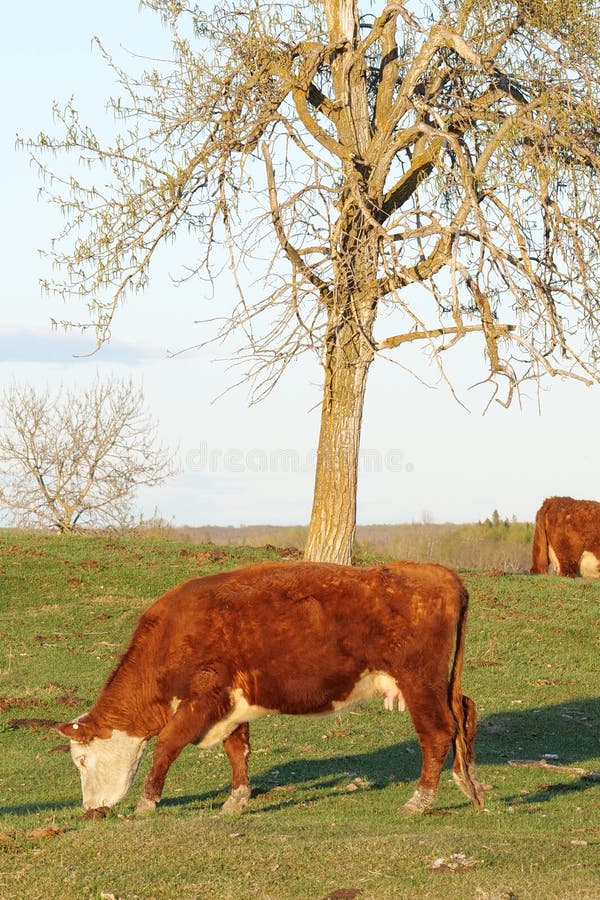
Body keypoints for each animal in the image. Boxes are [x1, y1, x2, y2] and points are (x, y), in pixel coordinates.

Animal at [56, 560, 485, 819]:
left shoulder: (203, 699)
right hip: (441, 684)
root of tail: (439, 574)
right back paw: (470, 785)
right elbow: (238, 750)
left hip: (420, 682)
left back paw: (419, 801)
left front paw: (145, 805)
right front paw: (236, 800)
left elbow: (166, 746)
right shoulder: (231, 704)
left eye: (81, 760)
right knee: (464, 714)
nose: (90, 809)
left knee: (437, 733)